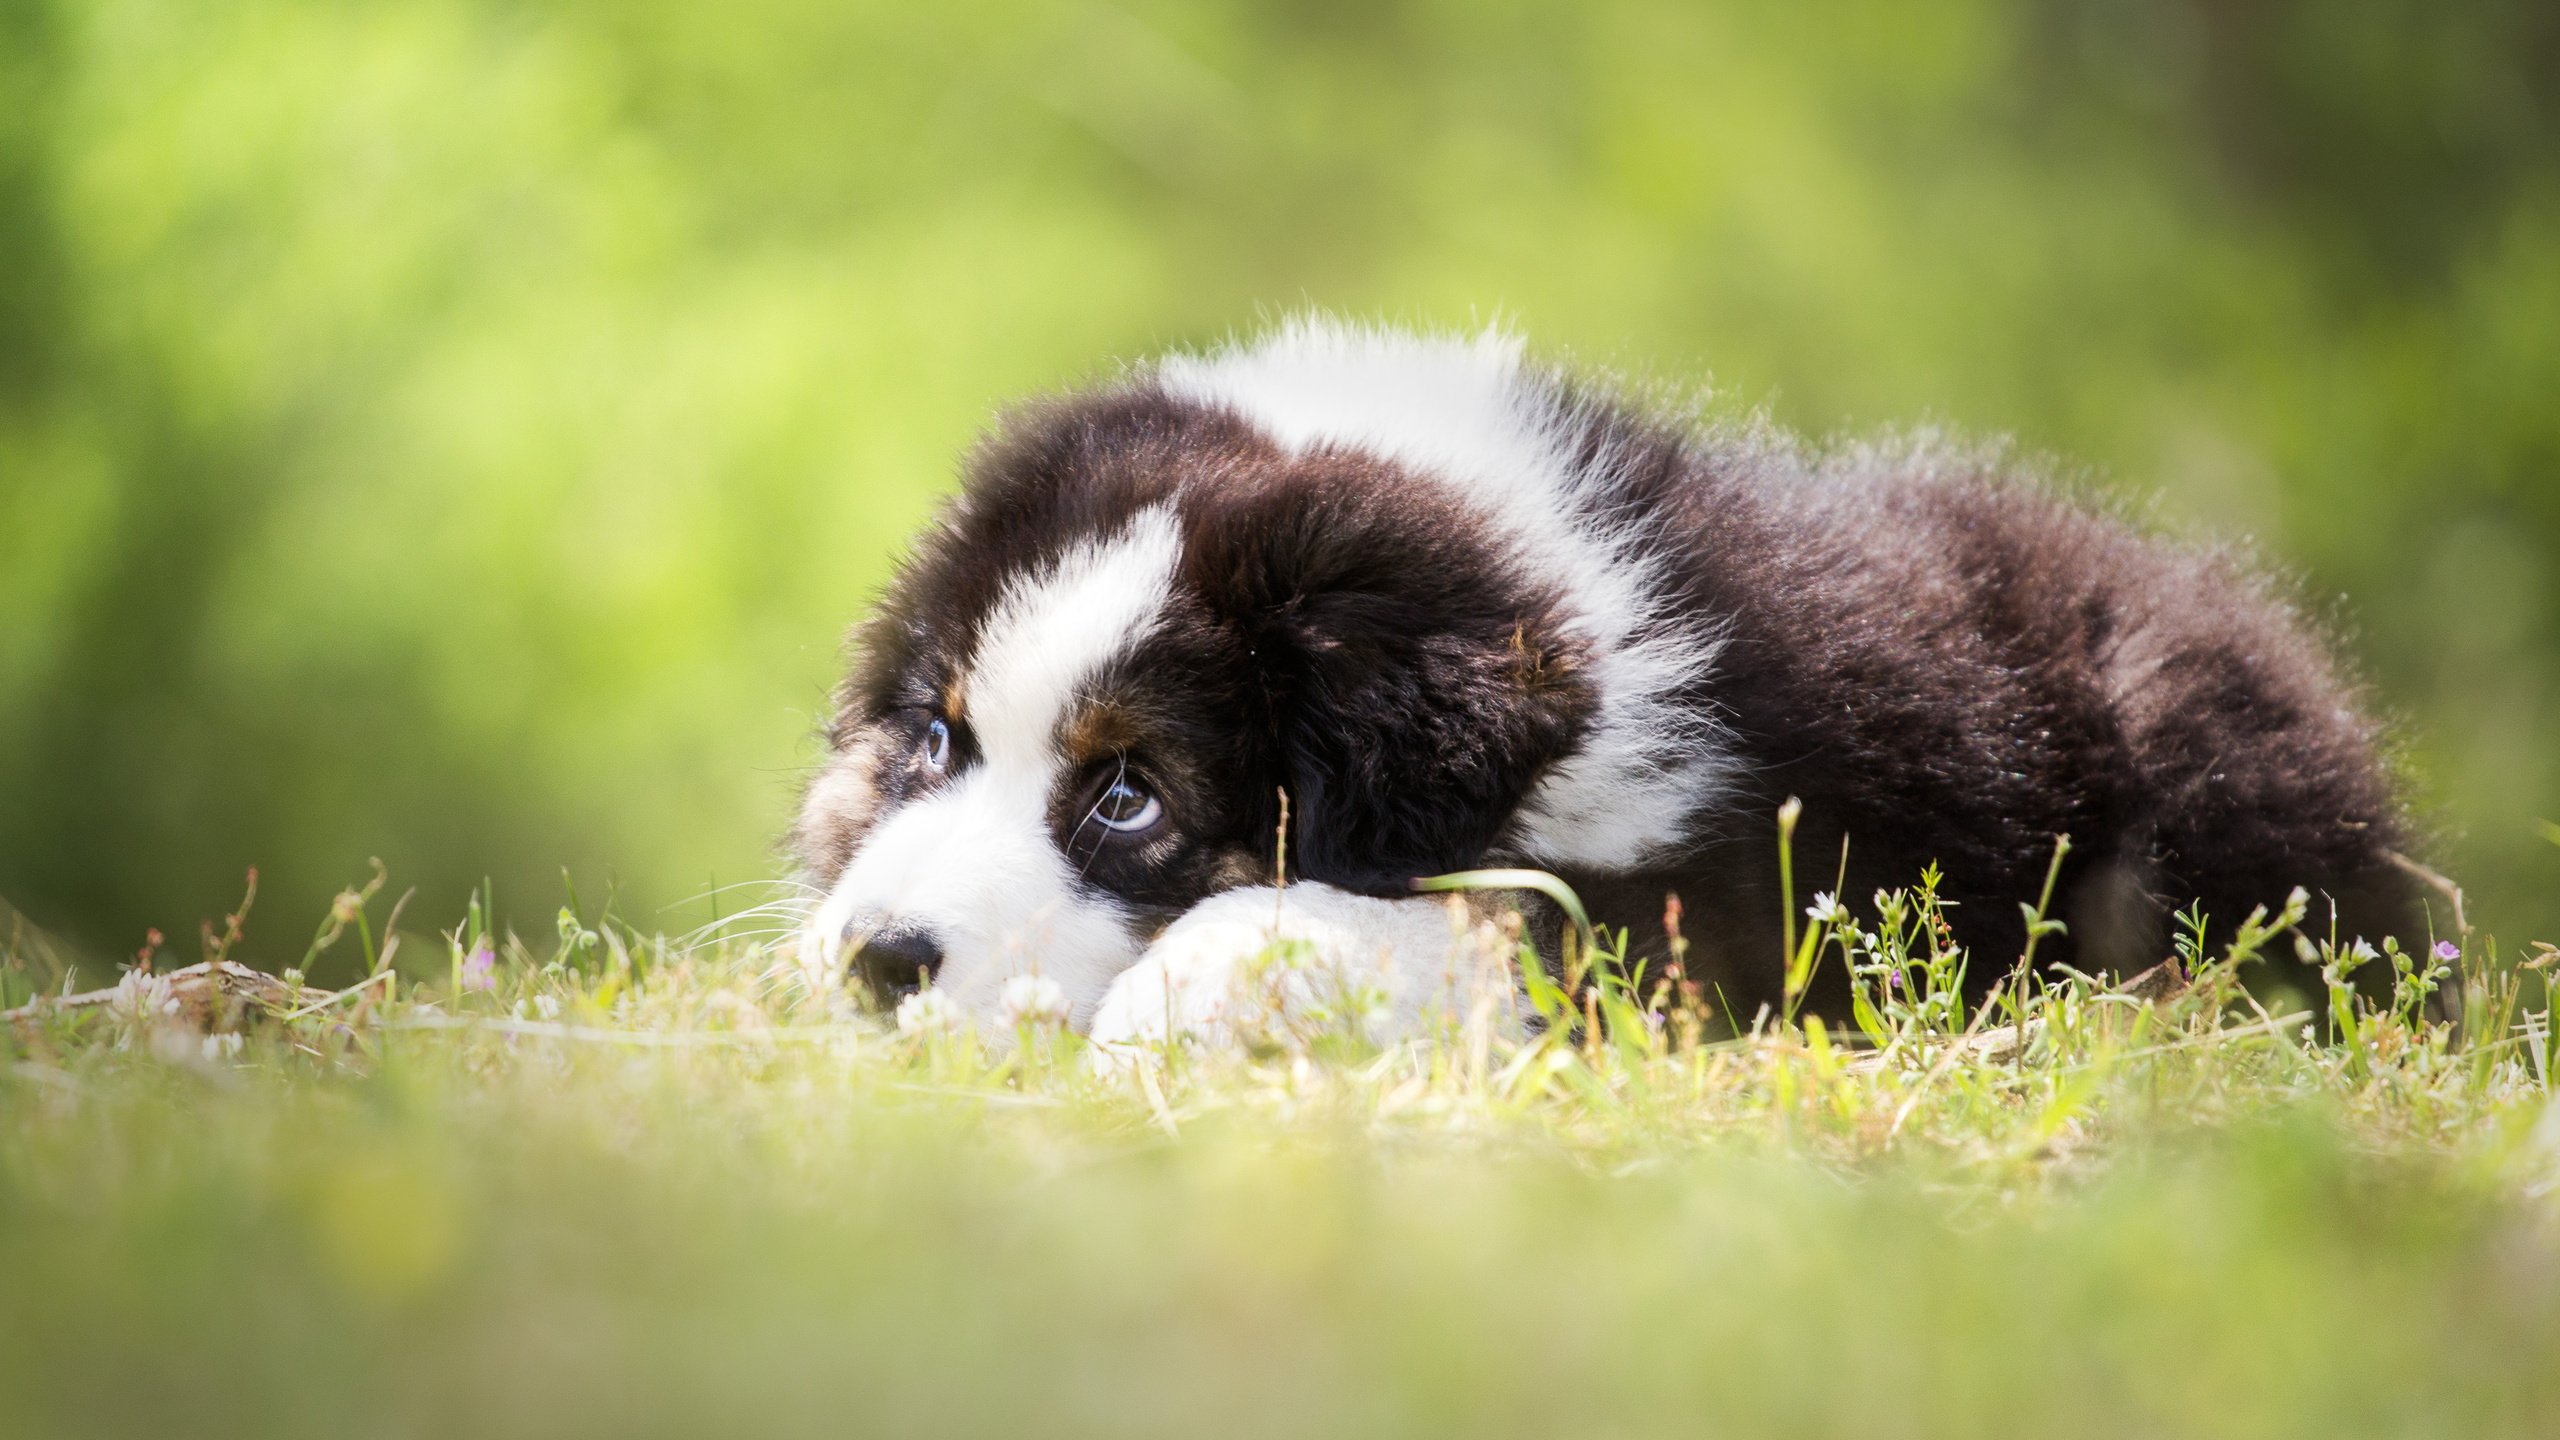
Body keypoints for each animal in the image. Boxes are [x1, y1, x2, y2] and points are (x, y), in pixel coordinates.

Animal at [788, 316, 2406, 1040]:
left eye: (1130, 796)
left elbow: (1448, 932)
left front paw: (1170, 1009)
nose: (878, 959)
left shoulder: (1717, 910)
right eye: (934, 739)